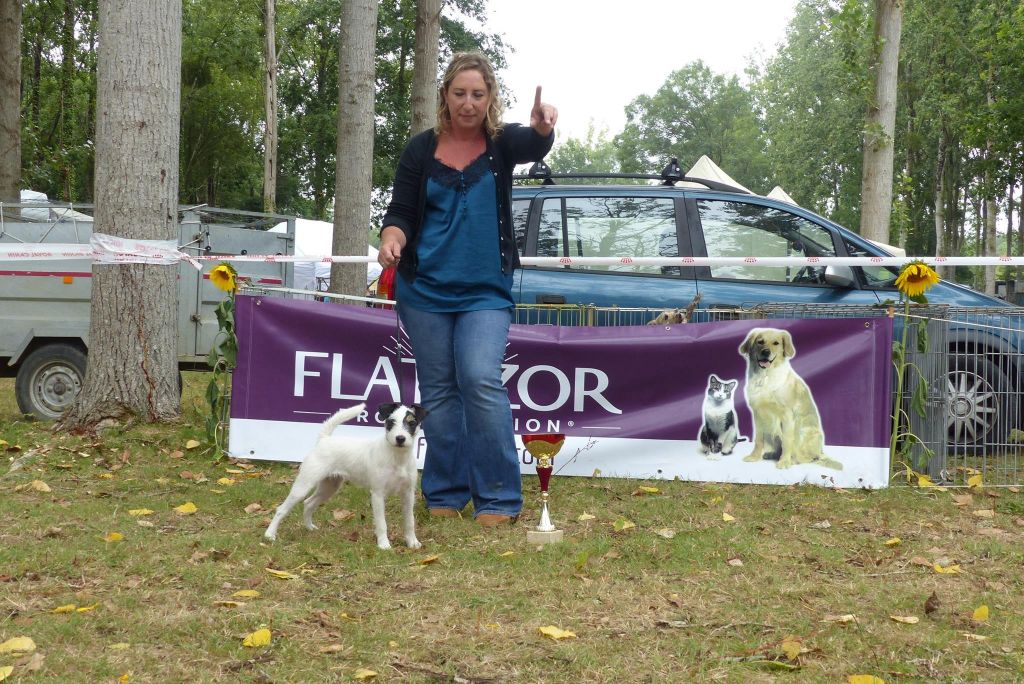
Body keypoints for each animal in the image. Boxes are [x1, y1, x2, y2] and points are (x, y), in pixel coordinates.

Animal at [264, 403, 428, 548]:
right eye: (391, 422)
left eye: (412, 423)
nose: (400, 438)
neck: (397, 457)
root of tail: (324, 439)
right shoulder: (378, 494)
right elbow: (382, 523)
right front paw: (384, 545)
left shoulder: (408, 494)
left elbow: (409, 522)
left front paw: (412, 543)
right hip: (304, 485)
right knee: (282, 509)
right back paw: (270, 535)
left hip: (329, 487)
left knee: (309, 503)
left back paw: (309, 527)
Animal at [741, 327, 843, 471]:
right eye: (760, 342)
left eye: (776, 343)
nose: (766, 352)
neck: (765, 376)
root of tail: (821, 451)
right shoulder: (758, 414)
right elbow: (758, 439)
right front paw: (754, 457)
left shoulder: (787, 414)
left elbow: (787, 442)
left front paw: (784, 462)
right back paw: (772, 454)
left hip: (804, 431)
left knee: (810, 456)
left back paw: (795, 460)